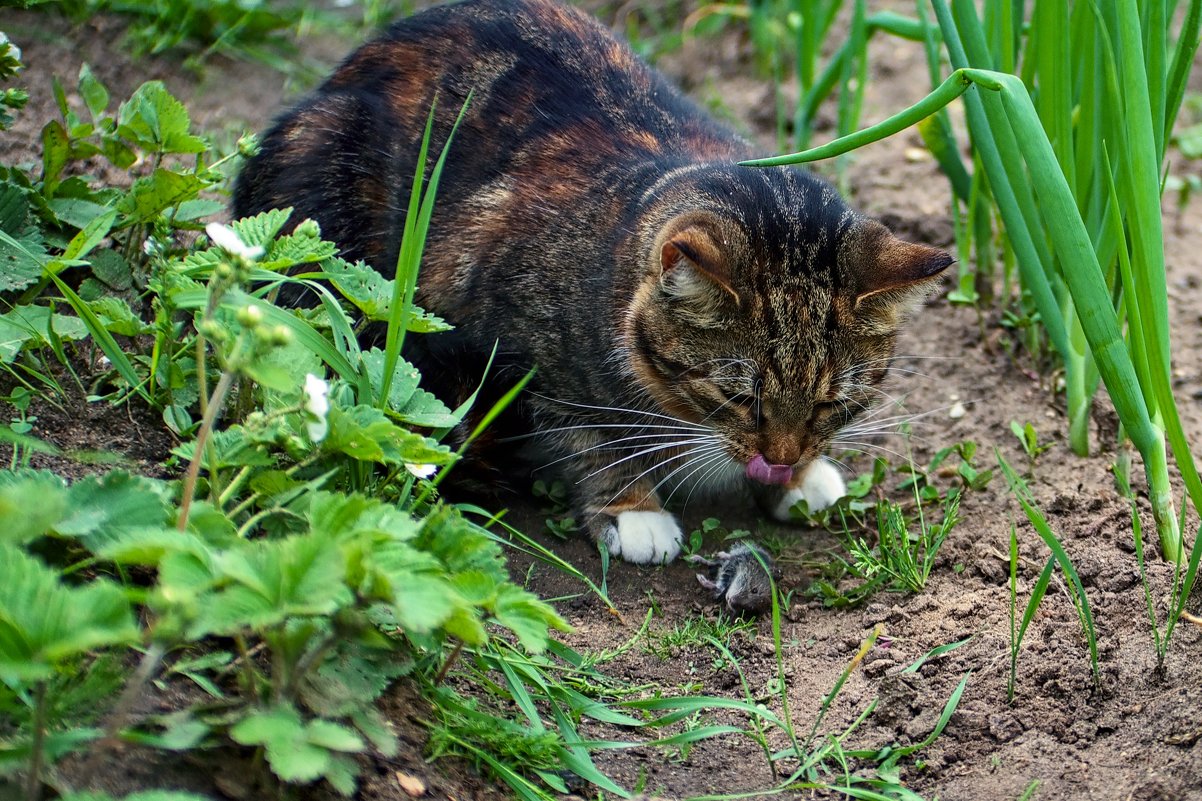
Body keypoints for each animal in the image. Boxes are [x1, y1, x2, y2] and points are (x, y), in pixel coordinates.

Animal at [234, 0, 947, 565]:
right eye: (738, 397)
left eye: (832, 404)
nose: (782, 458)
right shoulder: (525, 356)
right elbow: (587, 436)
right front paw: (634, 508)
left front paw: (801, 480)